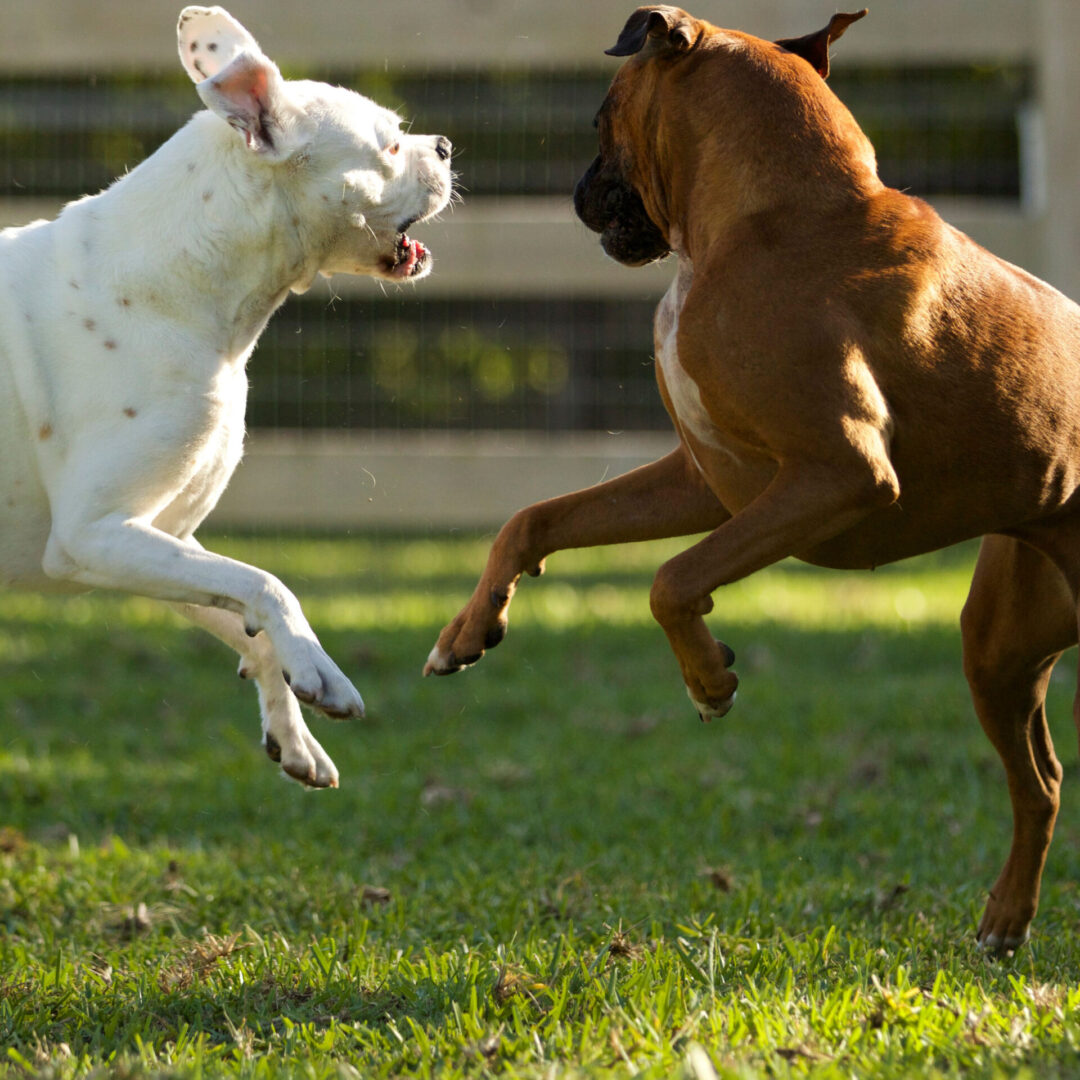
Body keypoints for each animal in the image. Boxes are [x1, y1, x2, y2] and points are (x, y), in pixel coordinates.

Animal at [0, 6, 451, 786]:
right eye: (391, 145)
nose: (448, 146)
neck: (176, 281)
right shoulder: (94, 534)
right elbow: (269, 583)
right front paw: (323, 672)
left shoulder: (160, 539)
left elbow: (246, 608)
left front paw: (294, 730)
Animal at [425, 8, 1080, 954]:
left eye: (600, 118)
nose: (578, 191)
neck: (769, 219)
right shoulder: (709, 483)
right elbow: (535, 519)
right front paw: (471, 629)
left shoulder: (837, 475)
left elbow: (670, 581)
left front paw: (709, 679)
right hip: (1001, 649)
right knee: (1042, 783)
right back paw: (1005, 919)